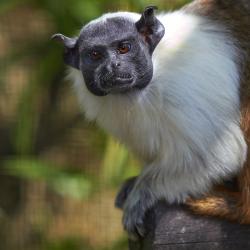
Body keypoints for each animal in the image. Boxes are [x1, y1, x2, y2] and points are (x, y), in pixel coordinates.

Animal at [52, 0, 250, 238]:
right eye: (96, 54)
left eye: (124, 48)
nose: (112, 66)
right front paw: (134, 183)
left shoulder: (184, 90)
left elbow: (220, 154)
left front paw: (142, 193)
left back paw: (238, 209)